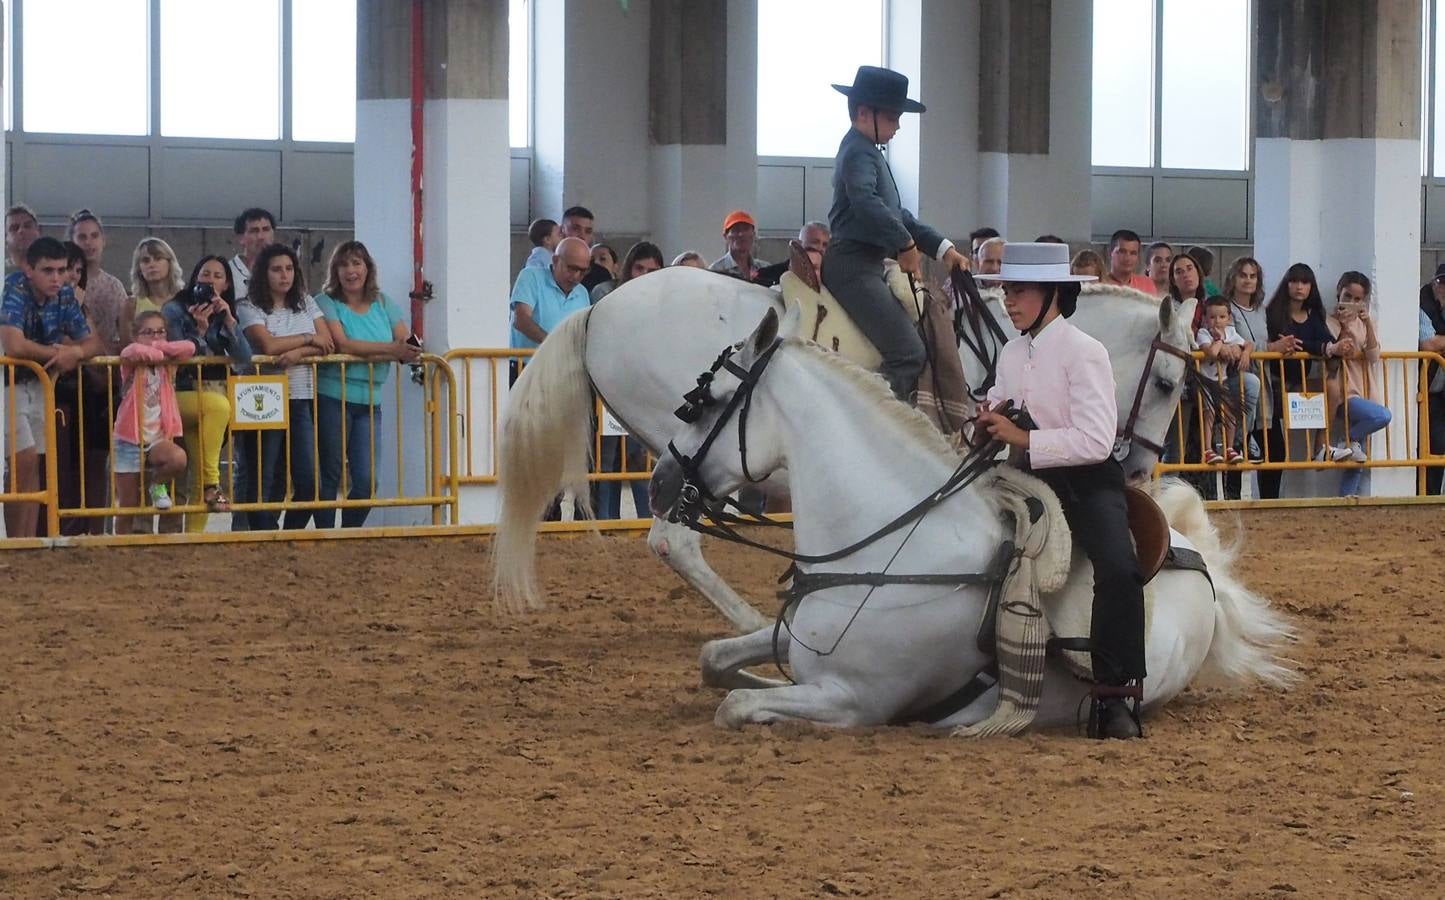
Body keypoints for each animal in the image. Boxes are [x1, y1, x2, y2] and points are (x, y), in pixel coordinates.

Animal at [497, 264, 1196, 626]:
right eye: (1167, 383)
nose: (1138, 467)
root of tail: (598, 310)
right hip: (694, 462)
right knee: (676, 541)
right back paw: (755, 624)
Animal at [650, 309, 1294, 733]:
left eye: (704, 403)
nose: (658, 485)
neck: (893, 554)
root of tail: (1196, 559)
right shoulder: (793, 637)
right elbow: (715, 663)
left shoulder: (853, 699)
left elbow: (734, 707)